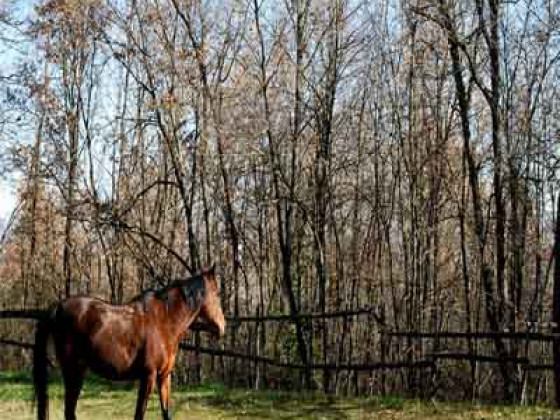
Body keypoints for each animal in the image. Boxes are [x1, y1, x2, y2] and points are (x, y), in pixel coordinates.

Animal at [32, 266, 224, 420]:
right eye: (217, 294)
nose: (222, 327)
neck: (164, 321)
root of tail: (58, 307)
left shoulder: (164, 376)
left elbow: (166, 413)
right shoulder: (149, 376)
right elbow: (139, 414)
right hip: (74, 371)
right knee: (69, 411)